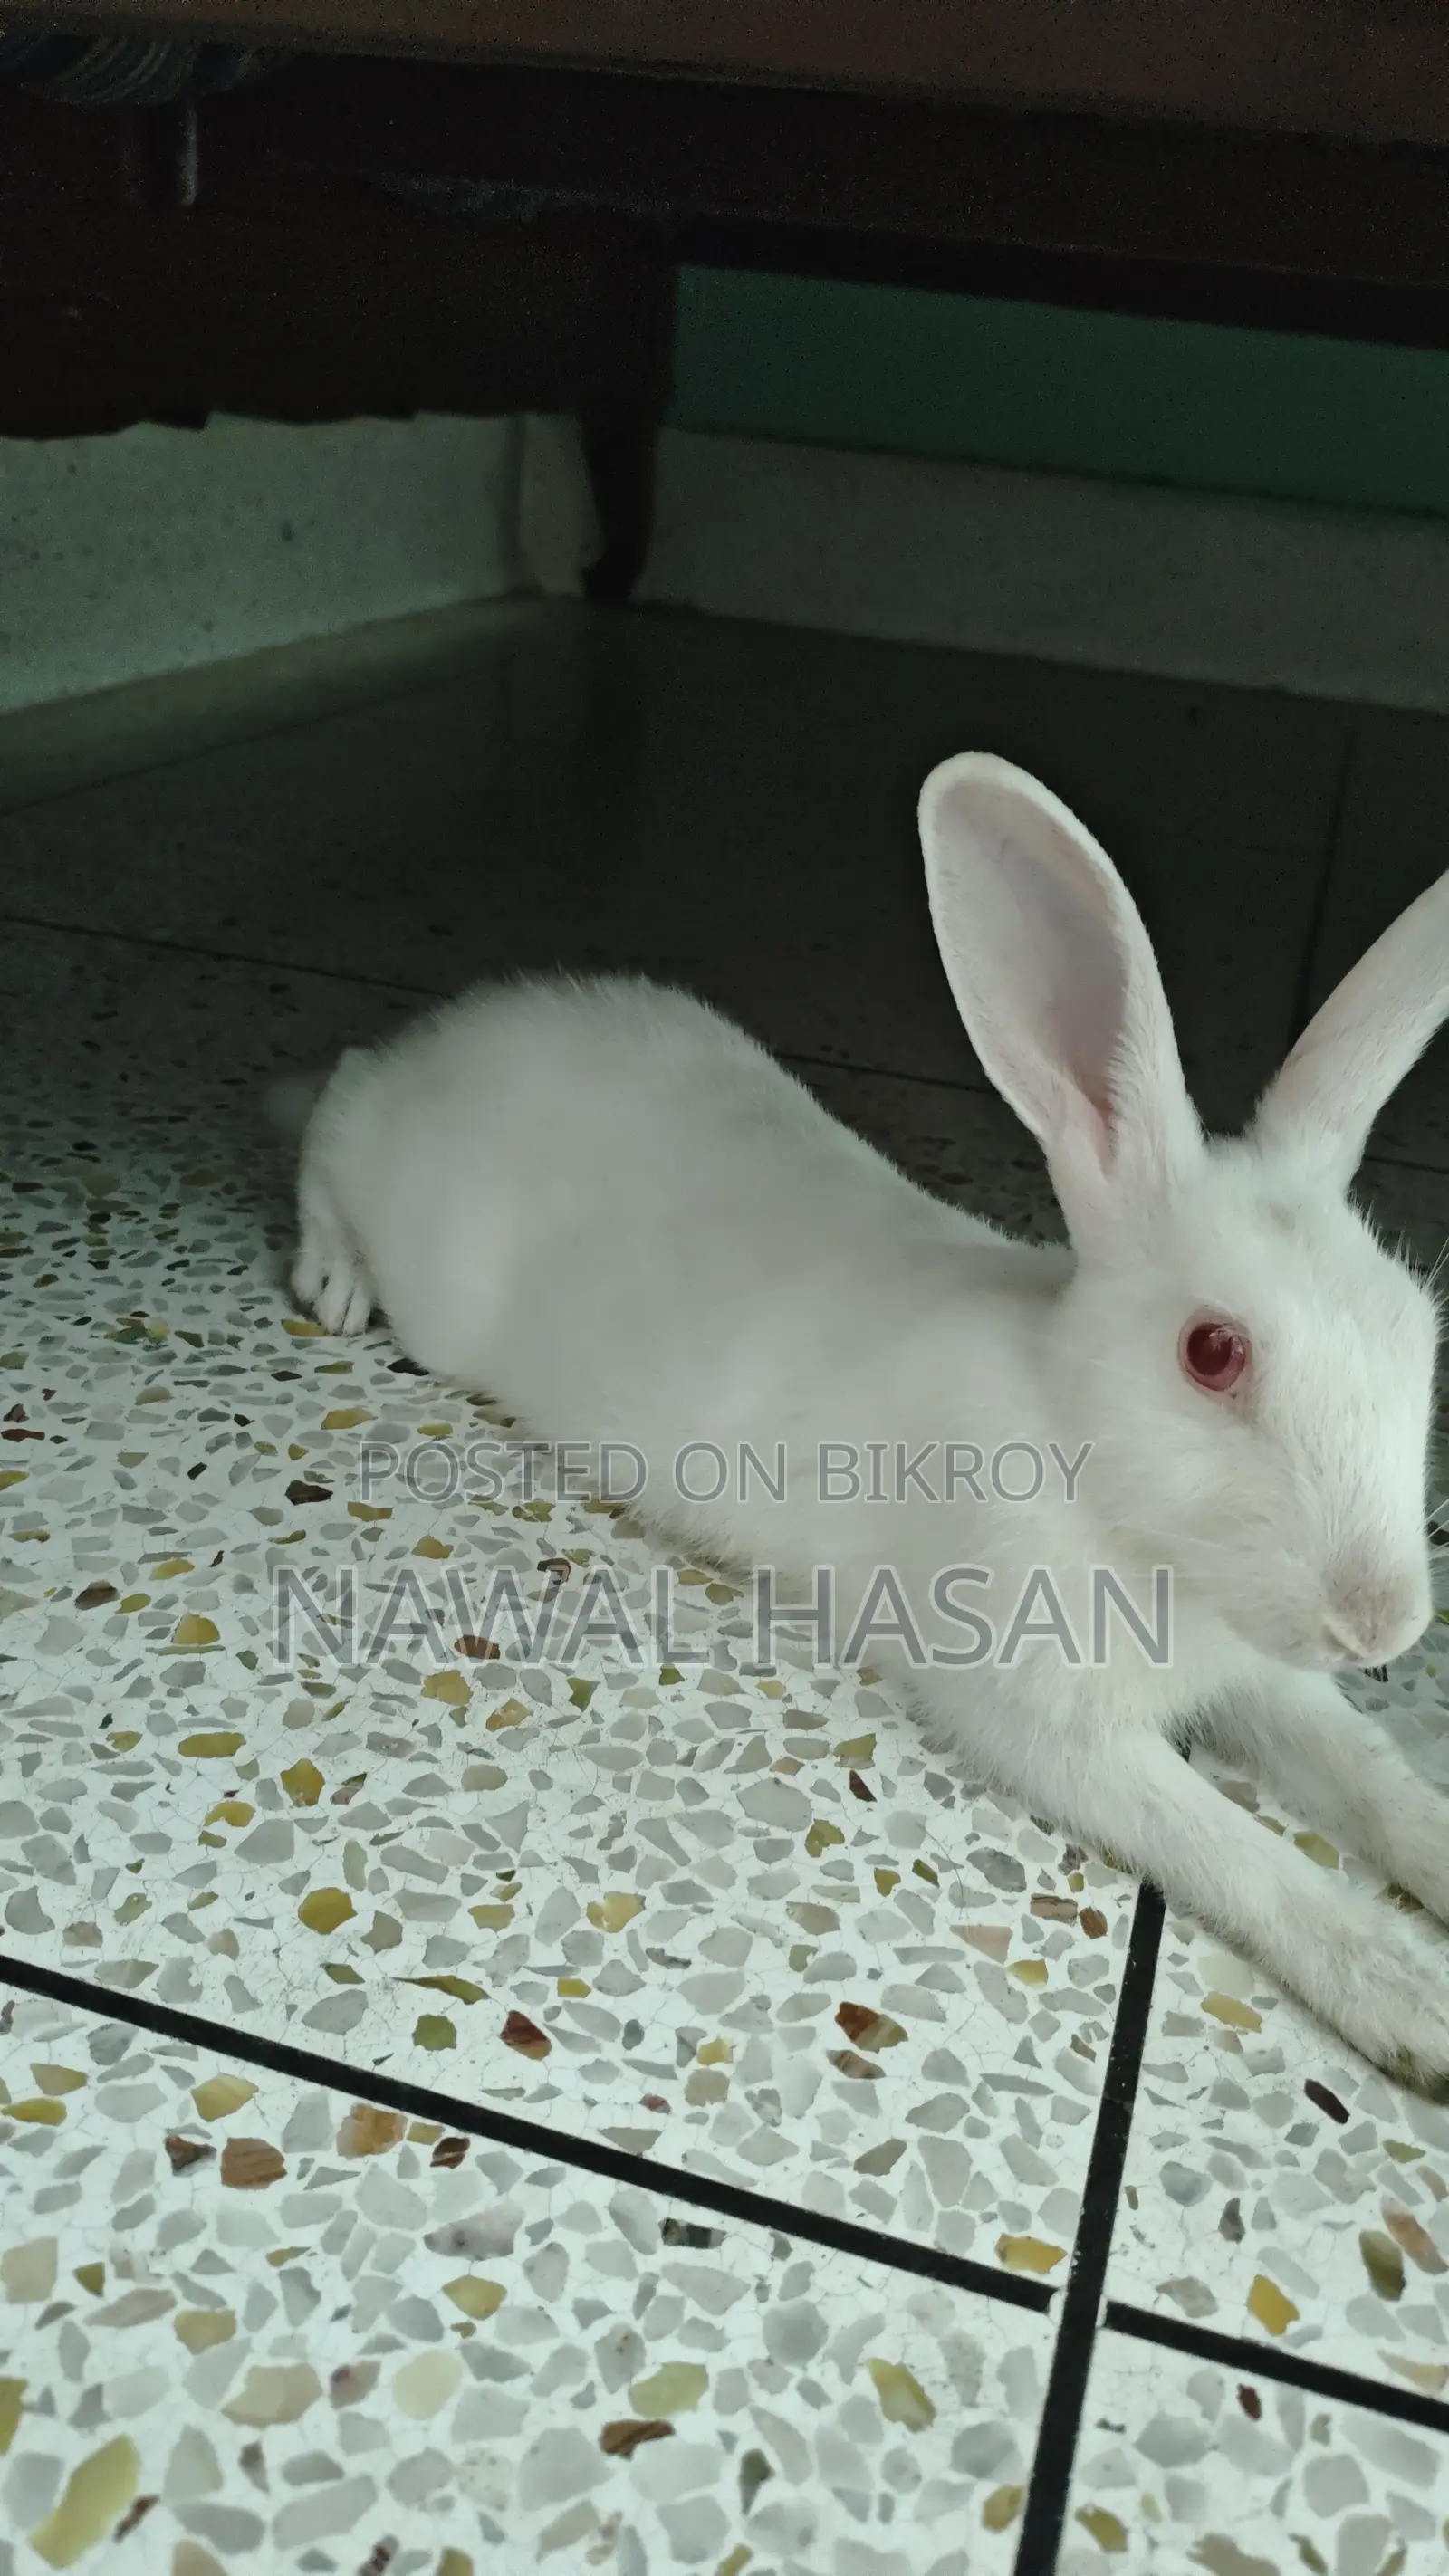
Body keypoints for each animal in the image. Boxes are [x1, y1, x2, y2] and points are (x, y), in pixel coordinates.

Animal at [280, 755, 1449, 2092]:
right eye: (1213, 1352)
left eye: (1417, 1321)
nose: (1383, 1621)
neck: (1093, 1470)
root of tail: (454, 1036)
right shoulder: (1048, 1720)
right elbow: (1236, 1850)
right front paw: (1415, 2002)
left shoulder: (1265, 1676)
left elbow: (1373, 1776)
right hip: (423, 1255)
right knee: (335, 1101)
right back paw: (331, 1275)